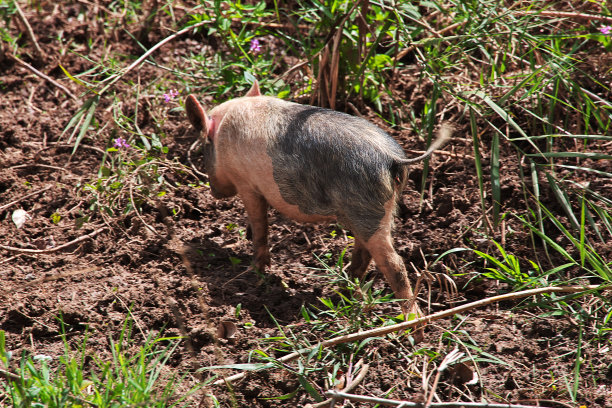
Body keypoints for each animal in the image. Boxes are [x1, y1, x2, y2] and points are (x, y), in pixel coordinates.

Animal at [184, 80, 452, 316]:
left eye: (204, 147)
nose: (214, 192)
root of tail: (392, 158)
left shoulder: (247, 184)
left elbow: (260, 226)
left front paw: (255, 271)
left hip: (366, 207)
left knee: (393, 263)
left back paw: (411, 323)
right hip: (373, 211)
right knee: (364, 252)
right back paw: (344, 290)